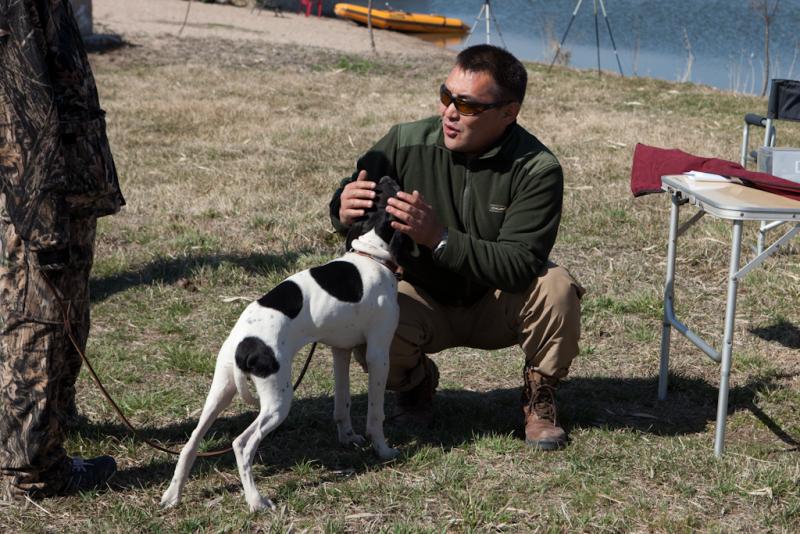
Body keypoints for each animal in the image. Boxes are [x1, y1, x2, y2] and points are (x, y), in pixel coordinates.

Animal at [161, 177, 405, 512]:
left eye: (379, 192)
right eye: (389, 192)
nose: (385, 177)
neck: (369, 254)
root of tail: (243, 344)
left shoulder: (340, 351)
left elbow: (342, 403)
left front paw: (348, 438)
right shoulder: (378, 354)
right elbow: (375, 414)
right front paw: (382, 450)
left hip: (222, 391)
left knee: (191, 443)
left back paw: (173, 495)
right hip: (277, 401)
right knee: (242, 445)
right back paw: (256, 501)